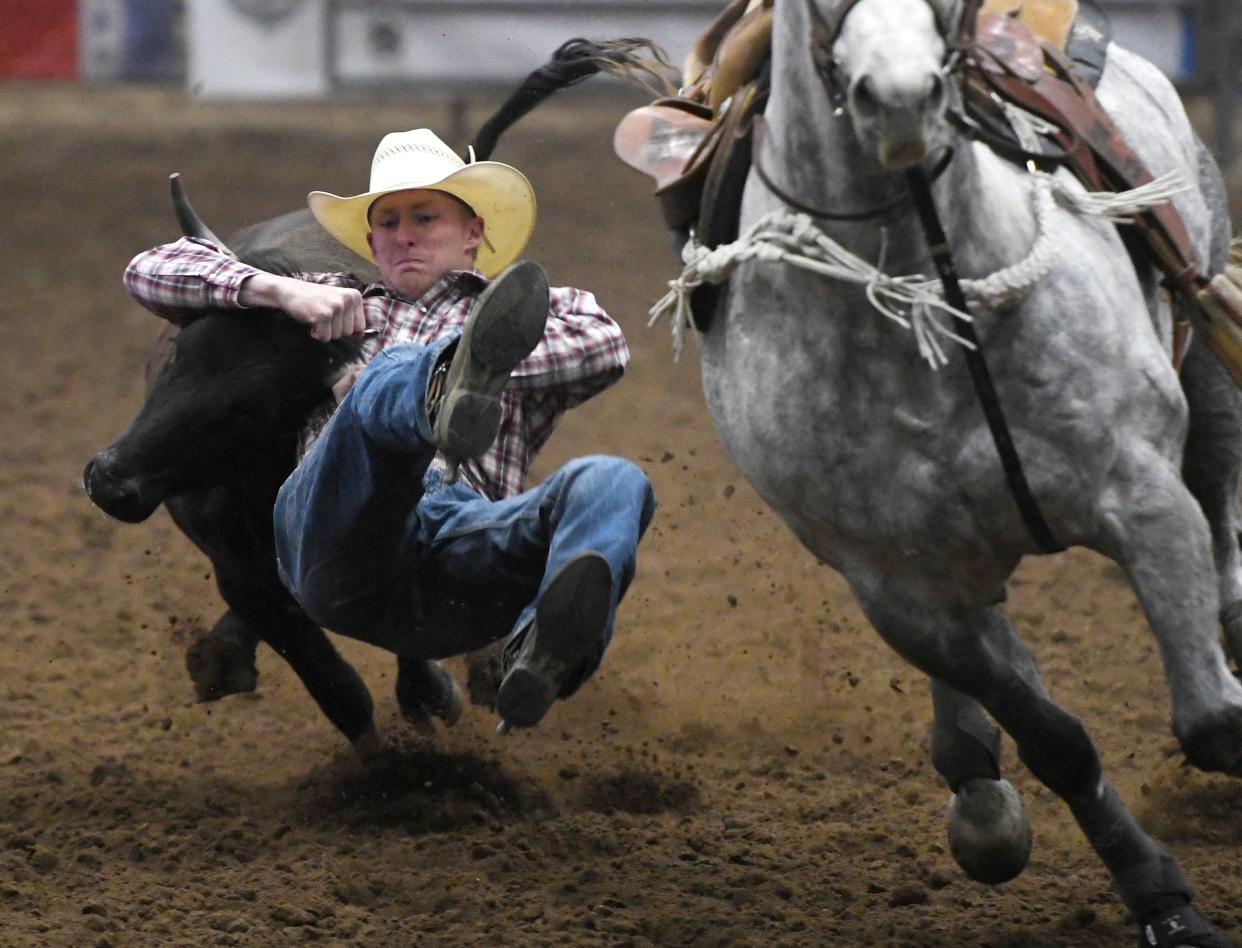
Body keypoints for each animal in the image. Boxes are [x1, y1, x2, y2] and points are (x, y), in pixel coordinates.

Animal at [700, 0, 1242, 939]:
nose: (901, 96)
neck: (936, 298)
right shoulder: (903, 593)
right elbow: (1054, 738)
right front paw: (1159, 896)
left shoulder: (1143, 496)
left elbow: (1212, 721)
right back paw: (978, 788)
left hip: (1205, 355)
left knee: (1225, 510)